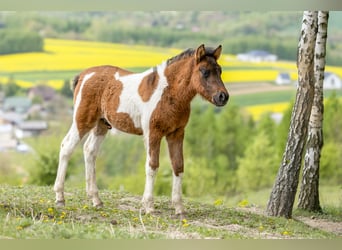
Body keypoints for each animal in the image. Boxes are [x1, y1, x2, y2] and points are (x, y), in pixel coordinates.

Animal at [53, 45, 228, 217]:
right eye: (204, 71)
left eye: (219, 70)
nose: (223, 97)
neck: (168, 93)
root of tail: (84, 75)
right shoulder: (153, 133)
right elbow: (152, 166)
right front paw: (149, 207)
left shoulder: (177, 133)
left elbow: (178, 166)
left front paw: (179, 209)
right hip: (82, 121)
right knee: (66, 147)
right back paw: (60, 198)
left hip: (101, 125)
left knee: (89, 150)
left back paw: (96, 199)